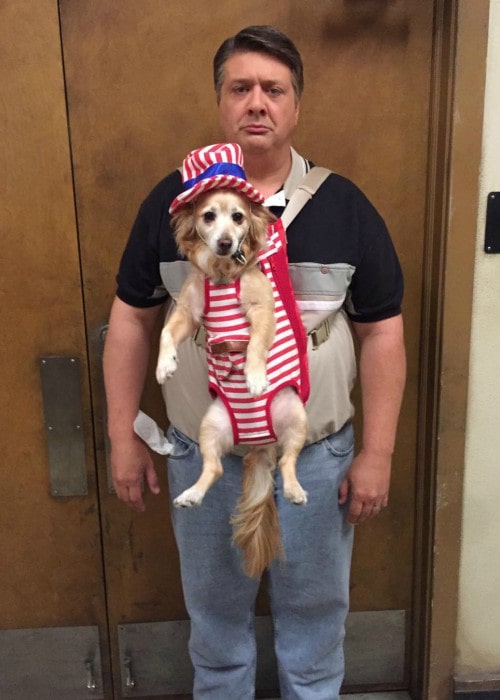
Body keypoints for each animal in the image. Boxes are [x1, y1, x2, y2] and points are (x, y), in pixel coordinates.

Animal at [154, 185, 308, 576]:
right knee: (215, 467)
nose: (224, 242)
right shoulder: (188, 313)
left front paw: (253, 377)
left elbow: (253, 345)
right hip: (212, 426)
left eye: (238, 217)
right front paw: (165, 364)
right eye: (208, 216)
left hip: (296, 418)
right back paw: (192, 495)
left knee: (287, 463)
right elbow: (165, 333)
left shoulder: (262, 313)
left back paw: (295, 491)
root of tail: (260, 440)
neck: (223, 274)